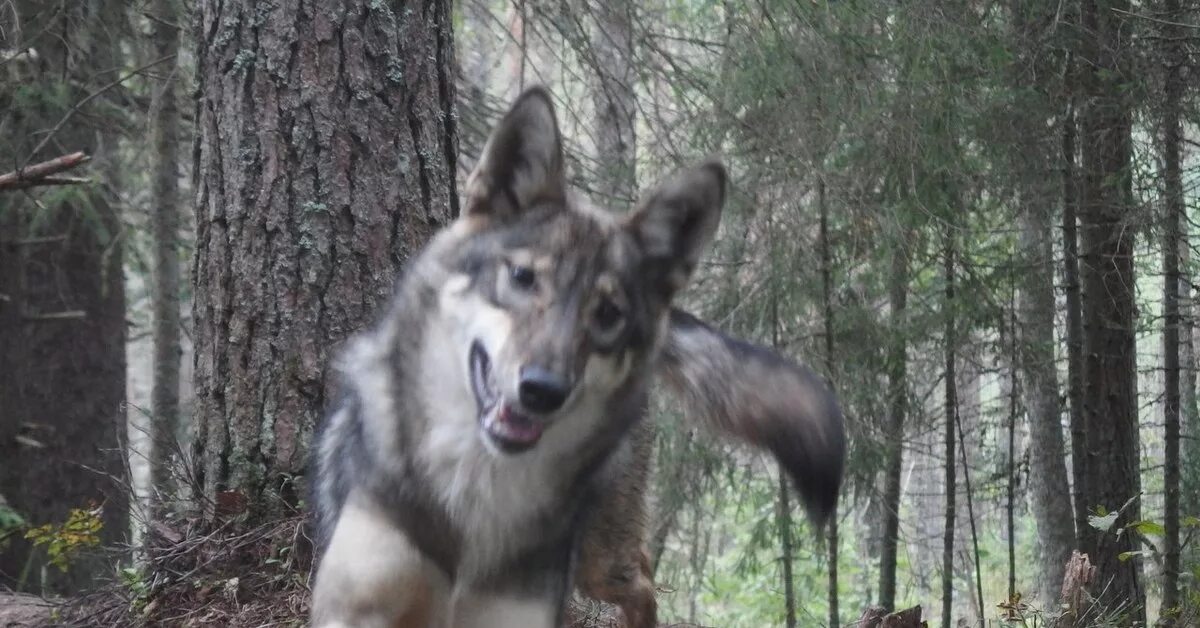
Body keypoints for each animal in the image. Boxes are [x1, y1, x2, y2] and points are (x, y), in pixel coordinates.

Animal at [309, 84, 844, 628]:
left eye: (608, 314)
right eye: (523, 277)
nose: (542, 391)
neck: (476, 489)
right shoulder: (355, 608)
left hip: (600, 559)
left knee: (643, 584)